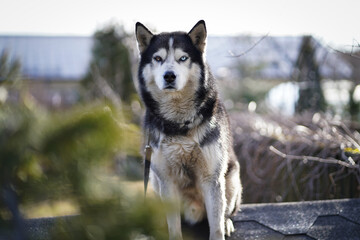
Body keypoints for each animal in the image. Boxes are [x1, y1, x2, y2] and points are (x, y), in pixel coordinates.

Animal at [135, 21, 242, 240]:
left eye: (183, 58)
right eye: (157, 58)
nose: (169, 75)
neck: (178, 123)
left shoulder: (212, 178)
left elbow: (215, 226)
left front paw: (220, 228)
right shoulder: (166, 180)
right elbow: (174, 226)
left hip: (232, 177)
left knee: (226, 211)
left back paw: (227, 221)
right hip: (154, 179)